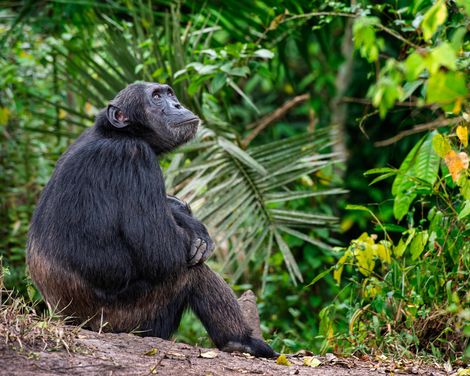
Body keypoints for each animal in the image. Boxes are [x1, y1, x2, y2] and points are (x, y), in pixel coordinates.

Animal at [25, 81, 276, 356]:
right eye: (156, 97)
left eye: (169, 93)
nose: (176, 104)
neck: (121, 134)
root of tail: (68, 321)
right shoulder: (135, 157)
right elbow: (160, 249)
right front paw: (192, 230)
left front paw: (184, 215)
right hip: (130, 321)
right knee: (191, 272)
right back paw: (240, 341)